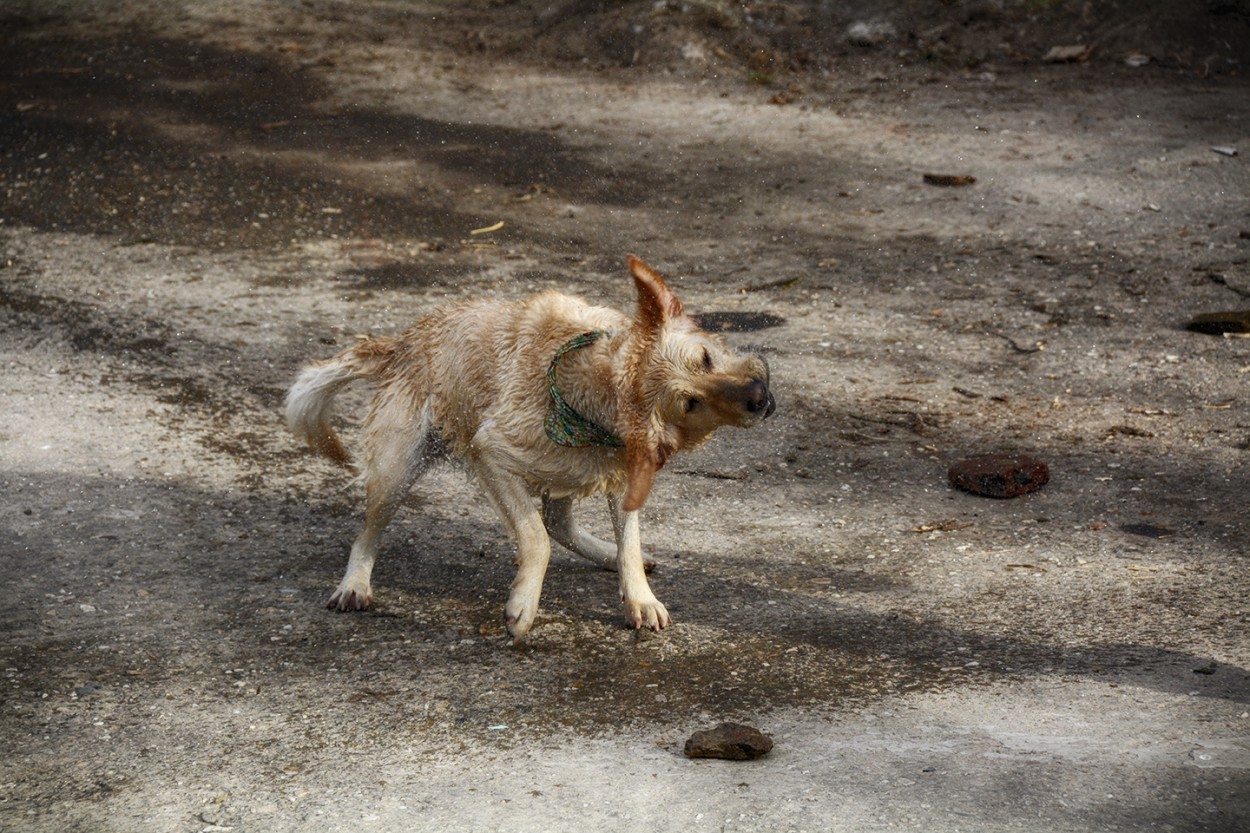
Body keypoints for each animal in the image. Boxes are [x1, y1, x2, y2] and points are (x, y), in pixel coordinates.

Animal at [287, 255, 775, 640]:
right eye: (691, 402)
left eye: (707, 358)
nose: (758, 397)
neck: (589, 387)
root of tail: (403, 340)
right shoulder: (492, 454)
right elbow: (535, 538)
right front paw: (523, 604)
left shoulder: (622, 473)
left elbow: (628, 545)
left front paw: (638, 596)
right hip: (397, 469)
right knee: (368, 532)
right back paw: (354, 584)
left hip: (569, 471)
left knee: (560, 521)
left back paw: (604, 554)